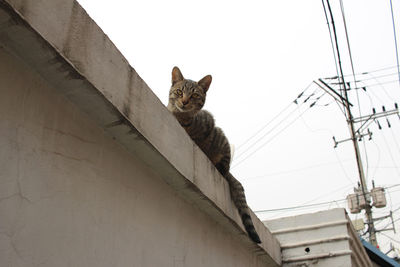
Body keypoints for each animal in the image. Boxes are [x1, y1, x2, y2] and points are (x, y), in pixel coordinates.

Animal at [167, 66, 260, 244]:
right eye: (180, 91)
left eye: (195, 95)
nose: (185, 101)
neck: (180, 117)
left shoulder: (209, 122)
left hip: (222, 142)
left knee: (223, 170)